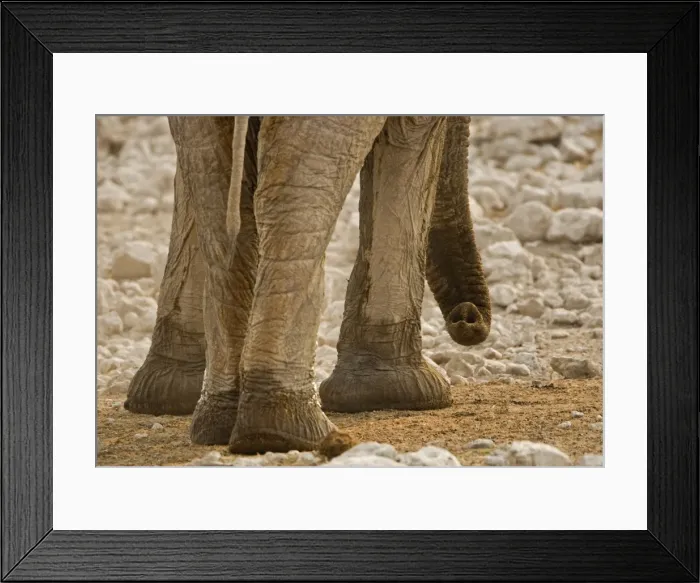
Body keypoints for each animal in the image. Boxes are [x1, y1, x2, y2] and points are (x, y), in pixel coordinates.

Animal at [123, 115, 491, 454]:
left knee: (217, 192)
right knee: (290, 191)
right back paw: (284, 435)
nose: (467, 319)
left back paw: (222, 426)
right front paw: (397, 394)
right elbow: (412, 136)